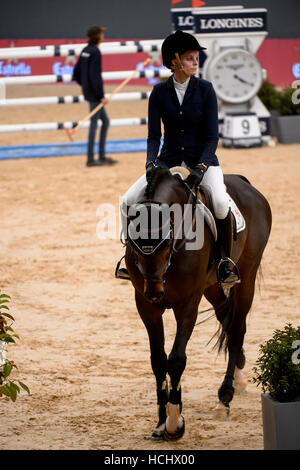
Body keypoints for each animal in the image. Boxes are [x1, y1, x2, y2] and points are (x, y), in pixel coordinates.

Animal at [122, 166, 272, 440]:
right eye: (134, 245)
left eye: (166, 242)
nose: (156, 292)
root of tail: (245, 183)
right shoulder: (146, 306)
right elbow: (158, 360)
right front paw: (161, 423)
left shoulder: (188, 303)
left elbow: (176, 359)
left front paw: (174, 423)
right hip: (212, 287)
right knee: (228, 320)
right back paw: (239, 376)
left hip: (247, 276)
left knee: (237, 329)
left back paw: (224, 399)